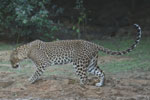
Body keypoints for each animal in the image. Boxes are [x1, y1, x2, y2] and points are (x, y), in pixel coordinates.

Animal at [9, 23, 141, 86]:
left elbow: (35, 73)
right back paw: (99, 84)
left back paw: (79, 86)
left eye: (11, 60)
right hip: (91, 64)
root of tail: (93, 43)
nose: (12, 66)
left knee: (85, 78)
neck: (26, 51)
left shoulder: (43, 64)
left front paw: (29, 81)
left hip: (79, 63)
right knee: (101, 73)